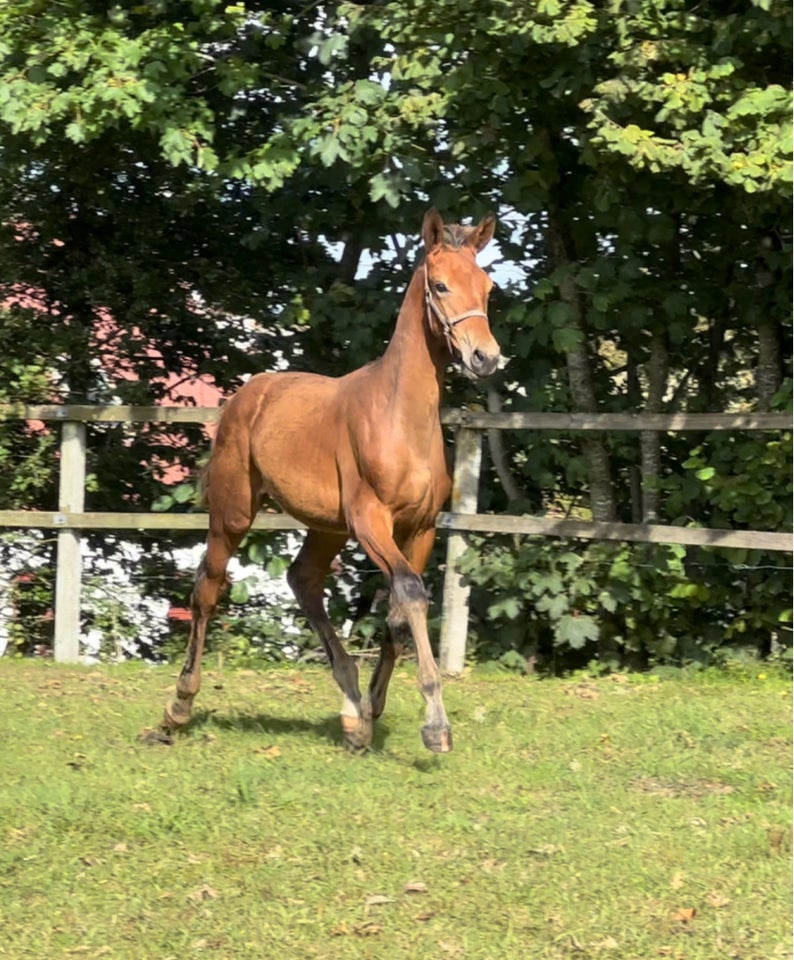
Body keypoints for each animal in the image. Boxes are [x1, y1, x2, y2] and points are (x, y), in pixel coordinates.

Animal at [163, 208, 498, 752]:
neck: (400, 416)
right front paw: (435, 727)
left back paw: (349, 705)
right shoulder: (371, 522)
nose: (485, 358)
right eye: (441, 285)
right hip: (233, 513)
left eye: (488, 288)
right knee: (207, 588)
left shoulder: (421, 528)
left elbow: (401, 611)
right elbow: (409, 593)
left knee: (303, 579)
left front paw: (369, 718)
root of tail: (246, 395)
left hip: (326, 527)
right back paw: (178, 707)